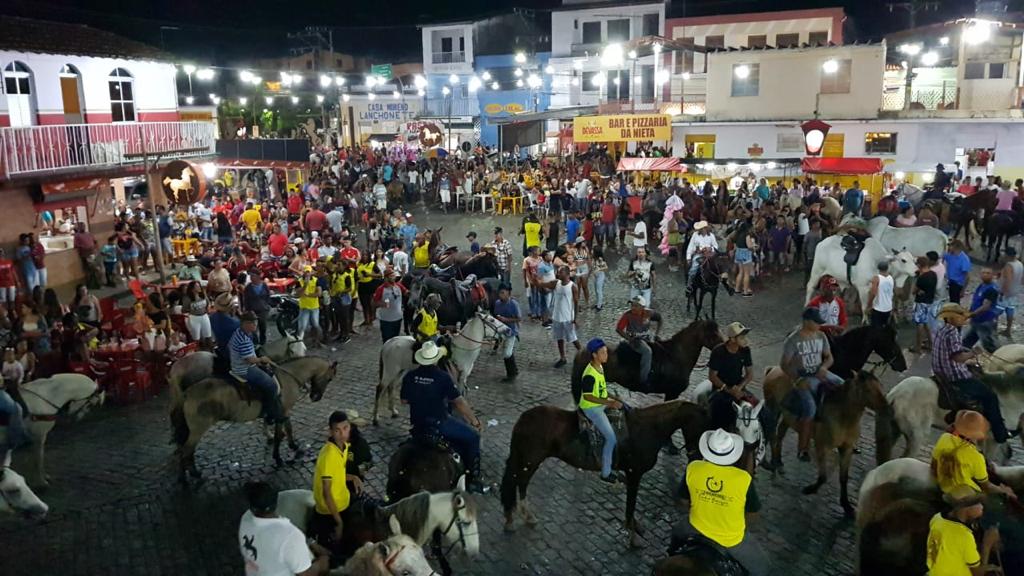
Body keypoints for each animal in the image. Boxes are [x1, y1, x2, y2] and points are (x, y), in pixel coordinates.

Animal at [372, 309, 507, 422]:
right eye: (491, 320)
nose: (508, 330)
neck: (463, 349)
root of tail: (389, 342)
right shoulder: (459, 376)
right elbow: (459, 395)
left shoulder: (463, 377)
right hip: (390, 371)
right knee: (380, 388)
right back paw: (375, 418)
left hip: (401, 370)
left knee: (391, 386)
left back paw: (393, 411)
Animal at [499, 397, 708, 545]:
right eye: (701, 427)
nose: (696, 456)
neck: (648, 428)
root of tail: (524, 419)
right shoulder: (634, 474)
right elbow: (630, 506)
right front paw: (632, 535)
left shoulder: (632, 475)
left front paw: (636, 527)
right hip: (530, 460)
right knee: (519, 482)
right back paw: (518, 517)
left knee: (518, 482)